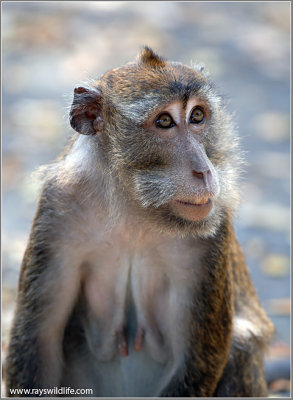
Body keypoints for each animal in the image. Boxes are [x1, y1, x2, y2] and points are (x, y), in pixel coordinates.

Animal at [5, 47, 274, 396]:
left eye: (197, 116)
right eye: (164, 121)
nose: (204, 171)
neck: (134, 205)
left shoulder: (210, 234)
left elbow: (197, 357)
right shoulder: (57, 209)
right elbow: (39, 341)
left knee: (242, 345)